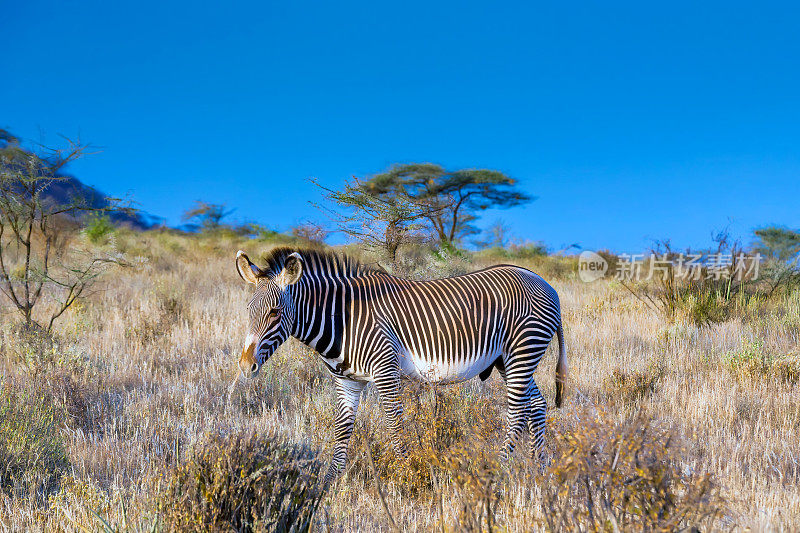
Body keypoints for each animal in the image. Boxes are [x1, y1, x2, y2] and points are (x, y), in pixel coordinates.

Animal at [234, 247, 564, 480]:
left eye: (275, 312)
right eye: (249, 309)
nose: (246, 366)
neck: (342, 321)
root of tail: (544, 282)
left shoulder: (385, 370)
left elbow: (394, 426)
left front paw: (408, 474)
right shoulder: (347, 381)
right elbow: (342, 430)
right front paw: (328, 485)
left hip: (523, 349)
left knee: (518, 411)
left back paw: (500, 469)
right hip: (507, 360)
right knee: (537, 405)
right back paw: (540, 468)